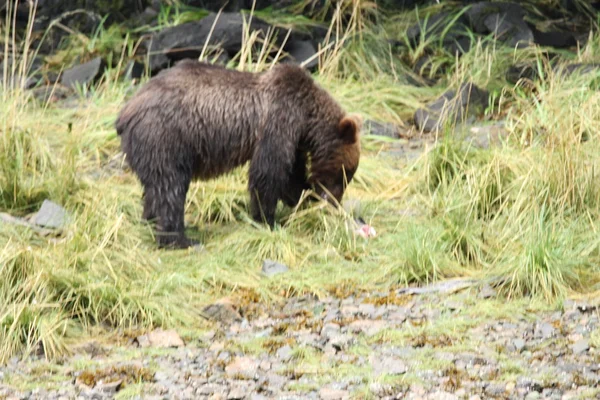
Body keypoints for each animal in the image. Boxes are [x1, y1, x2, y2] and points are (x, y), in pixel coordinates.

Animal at [116, 59, 360, 248]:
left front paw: (304, 199)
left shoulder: (295, 140)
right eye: (346, 173)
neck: (306, 117)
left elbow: (291, 175)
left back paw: (149, 222)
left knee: (154, 189)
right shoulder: (278, 121)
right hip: (166, 137)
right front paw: (268, 220)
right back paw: (180, 240)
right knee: (170, 187)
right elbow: (268, 173)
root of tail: (125, 113)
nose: (334, 202)